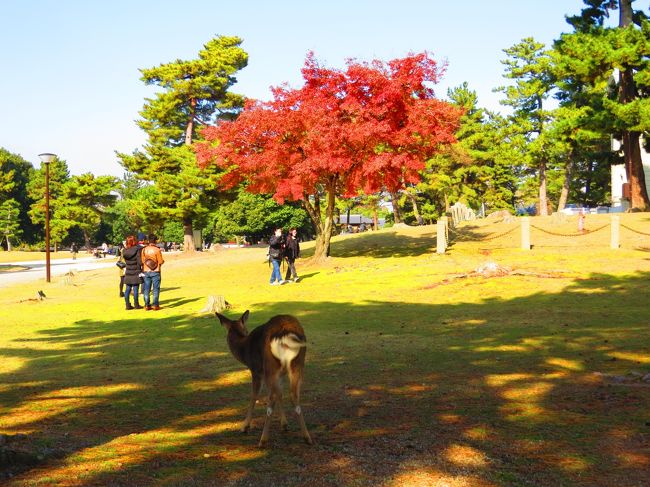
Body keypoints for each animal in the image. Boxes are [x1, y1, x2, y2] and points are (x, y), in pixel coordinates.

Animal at [216, 310, 313, 447]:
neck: (244, 351)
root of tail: (285, 337)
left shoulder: (256, 370)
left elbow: (254, 396)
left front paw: (244, 427)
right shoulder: (281, 374)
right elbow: (280, 394)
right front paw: (284, 424)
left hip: (269, 366)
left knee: (270, 398)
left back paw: (263, 439)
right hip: (297, 364)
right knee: (294, 395)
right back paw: (307, 437)